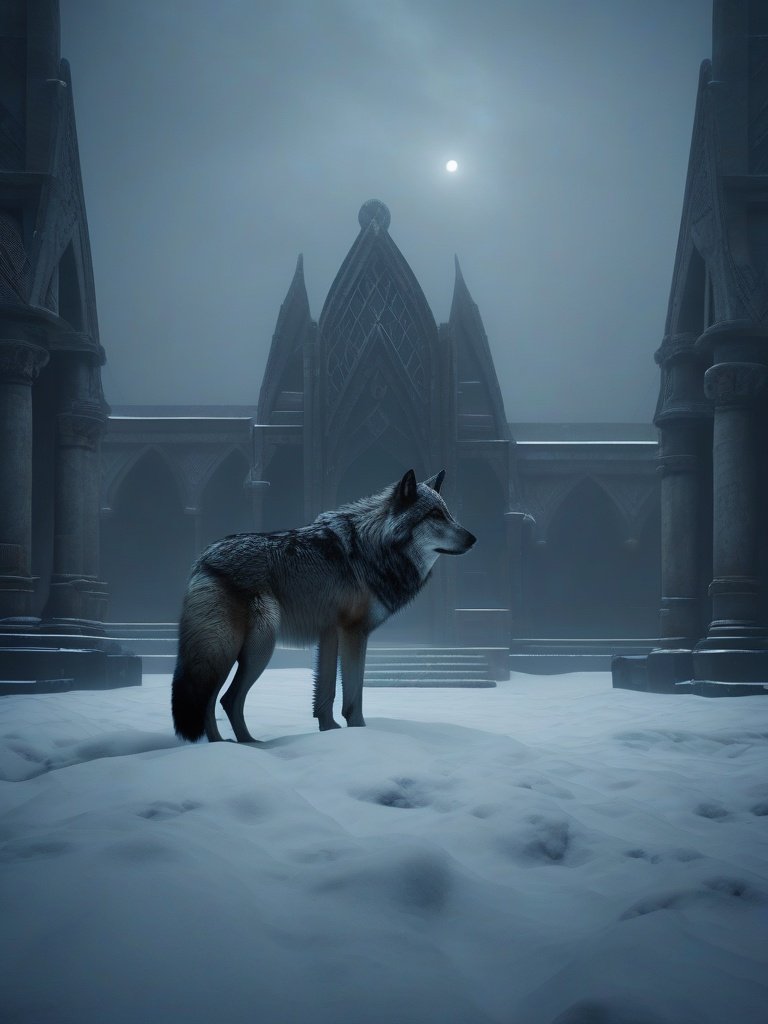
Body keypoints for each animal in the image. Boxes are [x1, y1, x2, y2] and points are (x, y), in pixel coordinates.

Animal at [171, 469, 475, 743]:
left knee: (211, 701)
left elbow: (326, 695)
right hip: (253, 646)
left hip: (227, 652)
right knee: (227, 699)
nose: (473, 539)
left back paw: (225, 743)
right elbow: (353, 696)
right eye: (434, 515)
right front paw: (360, 732)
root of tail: (202, 560)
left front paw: (329, 731)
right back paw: (246, 745)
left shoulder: (329, 633)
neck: (375, 548)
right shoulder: (354, 632)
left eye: (447, 512)